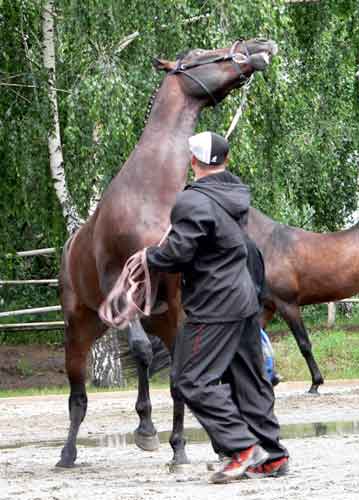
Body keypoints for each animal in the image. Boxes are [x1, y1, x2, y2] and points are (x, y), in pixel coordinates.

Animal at [58, 37, 278, 466]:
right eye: (196, 56)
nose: (260, 45)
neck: (150, 193)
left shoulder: (175, 299)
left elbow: (177, 376)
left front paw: (177, 448)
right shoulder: (118, 282)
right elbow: (142, 352)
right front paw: (147, 432)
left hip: (135, 319)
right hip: (77, 328)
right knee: (78, 395)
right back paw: (68, 453)